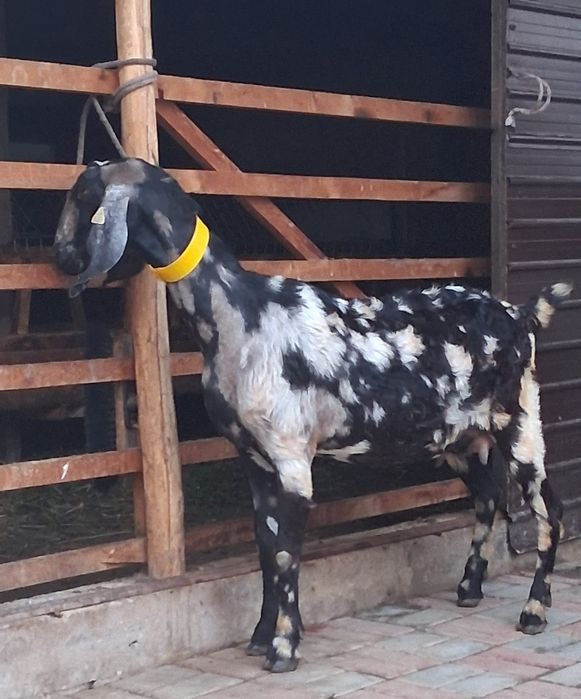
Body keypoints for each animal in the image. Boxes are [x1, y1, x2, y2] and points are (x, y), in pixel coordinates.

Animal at [54, 158, 571, 672]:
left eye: (84, 195)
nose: (59, 255)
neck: (238, 314)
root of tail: (522, 314)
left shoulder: (291, 457)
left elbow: (286, 555)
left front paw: (283, 648)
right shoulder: (254, 460)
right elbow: (266, 549)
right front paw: (261, 635)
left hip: (521, 422)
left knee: (550, 508)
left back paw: (533, 610)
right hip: (463, 437)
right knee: (486, 496)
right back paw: (469, 588)